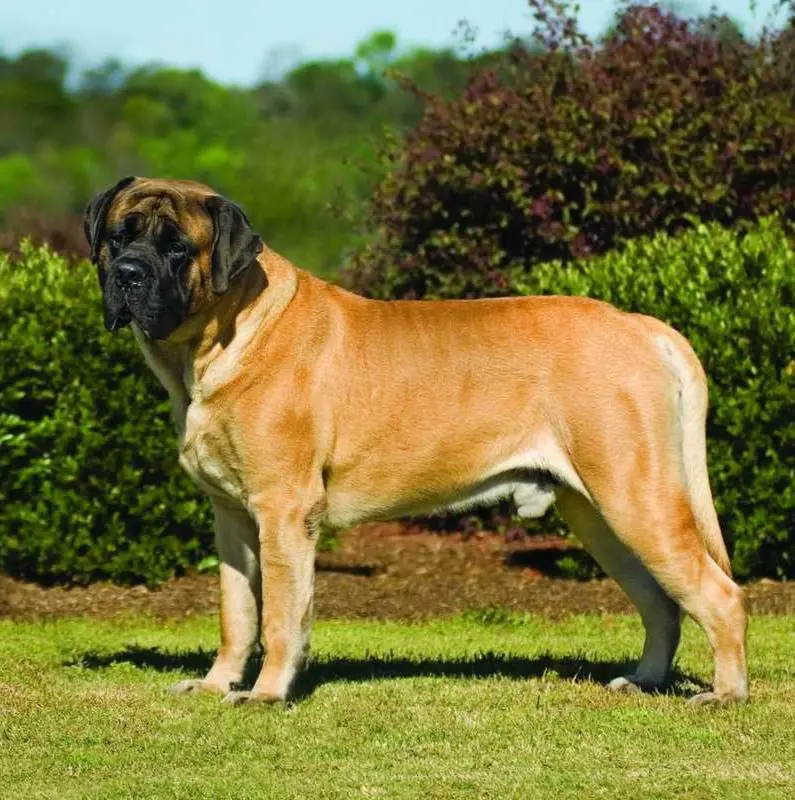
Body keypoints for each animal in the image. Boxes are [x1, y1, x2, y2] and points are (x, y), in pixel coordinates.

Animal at [84, 177, 748, 708]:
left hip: (636, 497)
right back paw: (645, 680)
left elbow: (280, 616)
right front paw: (216, 683)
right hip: (598, 514)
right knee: (662, 603)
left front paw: (267, 694)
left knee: (719, 593)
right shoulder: (231, 517)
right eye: (118, 236)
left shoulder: (282, 509)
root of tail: (640, 325)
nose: (128, 274)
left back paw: (724, 693)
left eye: (178, 247)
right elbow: (237, 611)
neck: (222, 337)